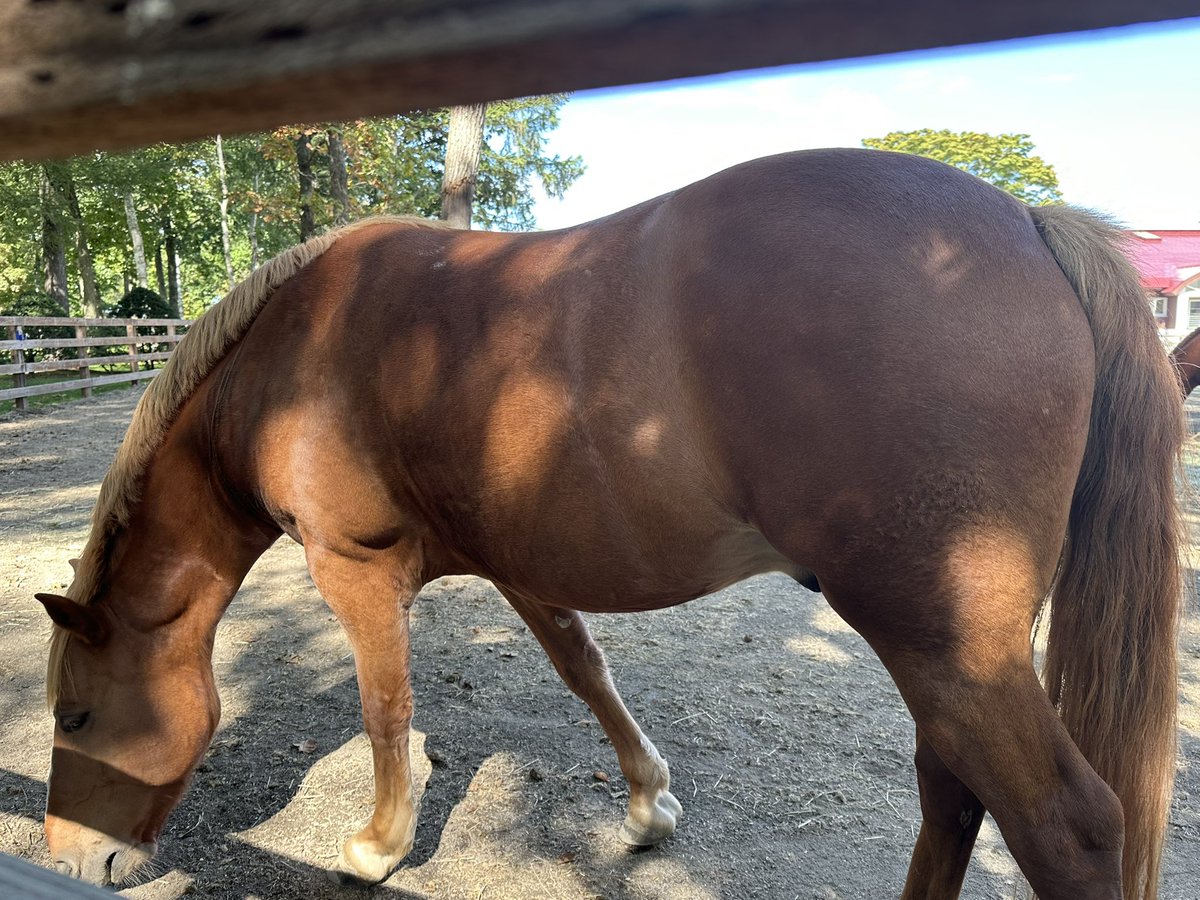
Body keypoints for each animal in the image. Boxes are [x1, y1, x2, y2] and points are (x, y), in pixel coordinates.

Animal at [35, 148, 1182, 899]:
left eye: (77, 718)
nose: (70, 859)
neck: (288, 361)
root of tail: (1028, 224)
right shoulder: (518, 562)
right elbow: (585, 670)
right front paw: (644, 807)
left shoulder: (353, 566)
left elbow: (384, 705)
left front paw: (378, 844)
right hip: (956, 651)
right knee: (952, 791)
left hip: (943, 643)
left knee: (1069, 829)